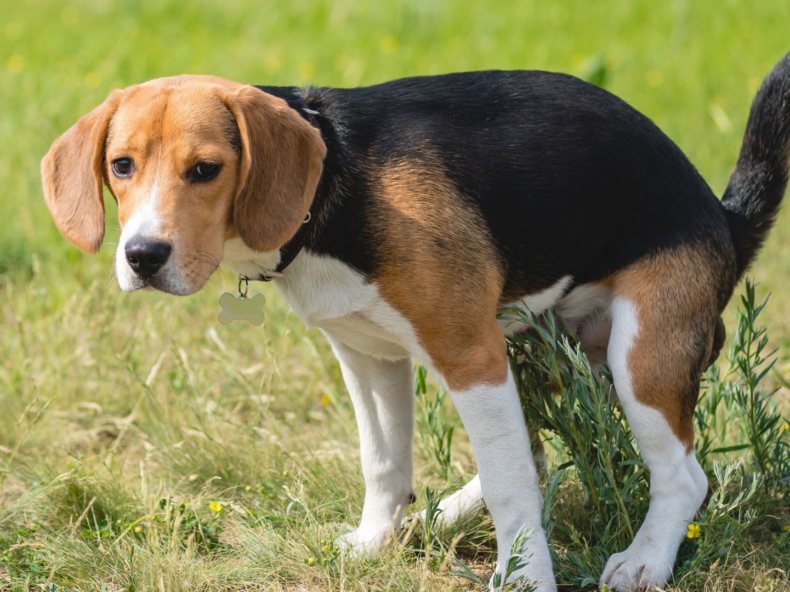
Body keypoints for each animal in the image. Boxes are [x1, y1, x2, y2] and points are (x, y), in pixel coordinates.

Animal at [43, 52, 790, 592]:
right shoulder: (367, 355)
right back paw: (444, 514)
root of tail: (723, 216)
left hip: (639, 355)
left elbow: (512, 486)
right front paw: (377, 541)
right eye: (121, 166)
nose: (143, 256)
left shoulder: (469, 354)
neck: (334, 186)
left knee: (680, 477)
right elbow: (384, 462)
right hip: (542, 351)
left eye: (205, 170)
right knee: (535, 453)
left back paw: (644, 561)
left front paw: (524, 578)